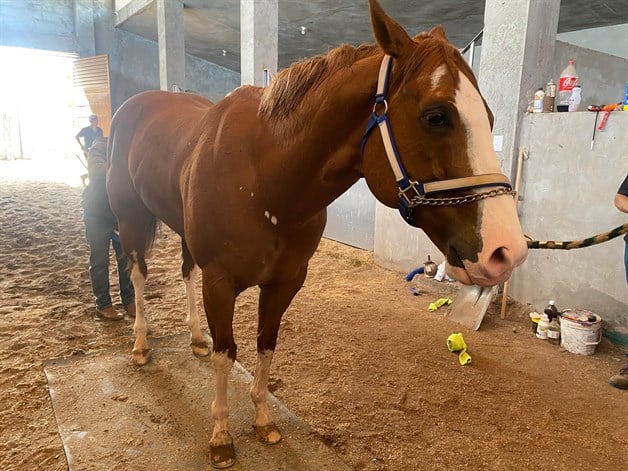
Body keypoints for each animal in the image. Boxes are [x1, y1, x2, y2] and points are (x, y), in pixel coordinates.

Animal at [106, 0, 524, 468]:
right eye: (437, 116)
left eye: (489, 117)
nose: (507, 250)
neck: (264, 178)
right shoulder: (221, 283)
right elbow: (225, 355)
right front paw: (221, 436)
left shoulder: (286, 282)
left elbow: (265, 344)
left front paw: (263, 420)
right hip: (129, 218)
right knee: (138, 274)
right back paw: (141, 344)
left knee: (184, 272)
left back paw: (194, 337)